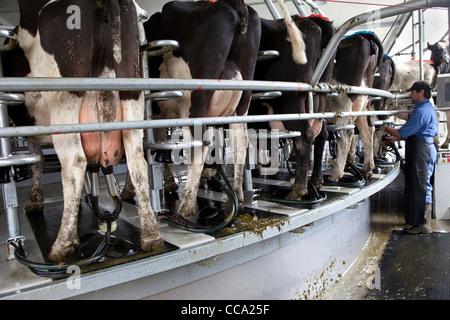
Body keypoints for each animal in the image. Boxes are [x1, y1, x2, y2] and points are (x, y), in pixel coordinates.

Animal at [13, 0, 162, 262]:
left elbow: (37, 162)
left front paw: (35, 201)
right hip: (131, 94)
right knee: (137, 162)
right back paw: (151, 236)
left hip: (63, 98)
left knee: (74, 163)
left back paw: (62, 245)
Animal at [143, 0, 306, 218]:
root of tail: (234, 4)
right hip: (242, 99)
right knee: (240, 140)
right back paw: (237, 198)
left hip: (193, 98)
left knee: (198, 144)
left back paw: (185, 207)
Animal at [248, 15, 336, 200]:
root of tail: (310, 21)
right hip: (319, 100)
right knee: (321, 134)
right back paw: (316, 180)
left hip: (290, 101)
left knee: (305, 135)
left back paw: (298, 190)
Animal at [326, 32, 382, 184]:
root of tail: (364, 36)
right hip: (363, 103)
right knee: (367, 130)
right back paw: (367, 169)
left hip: (342, 101)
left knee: (346, 133)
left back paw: (335, 174)